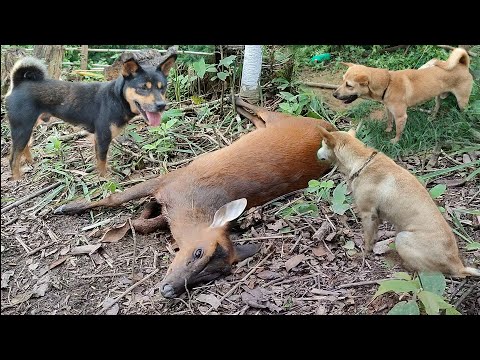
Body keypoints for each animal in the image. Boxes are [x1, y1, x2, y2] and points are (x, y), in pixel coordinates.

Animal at [4, 50, 177, 179]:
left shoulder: (98, 139)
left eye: (162, 87)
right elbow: (102, 161)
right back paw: (17, 179)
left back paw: (31, 162)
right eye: (143, 88)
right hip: (22, 128)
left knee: (24, 147)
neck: (117, 98)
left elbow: (100, 160)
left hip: (28, 127)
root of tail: (18, 83)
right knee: (13, 159)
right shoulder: (103, 137)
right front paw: (105, 180)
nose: (161, 105)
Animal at [54, 95, 336, 298]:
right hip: (285, 121)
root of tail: (328, 128)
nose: (169, 290)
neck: (194, 206)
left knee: (260, 119)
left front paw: (137, 217)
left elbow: (144, 224)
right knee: (264, 112)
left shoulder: (171, 198)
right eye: (198, 252)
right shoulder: (170, 179)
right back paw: (236, 98)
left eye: (211, 276)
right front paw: (67, 208)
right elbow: (116, 198)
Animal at [316, 128, 478, 278]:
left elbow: (367, 240)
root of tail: (457, 265)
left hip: (402, 238)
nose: (316, 153)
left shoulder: (368, 214)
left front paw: (363, 254)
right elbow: (373, 236)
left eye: (323, 144)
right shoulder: (376, 217)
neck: (362, 161)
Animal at [334, 47, 472, 143]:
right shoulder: (389, 109)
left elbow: (399, 131)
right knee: (437, 106)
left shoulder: (401, 117)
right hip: (438, 97)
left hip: (462, 101)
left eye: (349, 85)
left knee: (463, 112)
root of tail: (462, 64)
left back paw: (462, 122)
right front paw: (388, 130)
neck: (387, 83)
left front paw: (395, 141)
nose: (334, 94)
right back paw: (432, 117)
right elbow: (389, 121)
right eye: (342, 80)